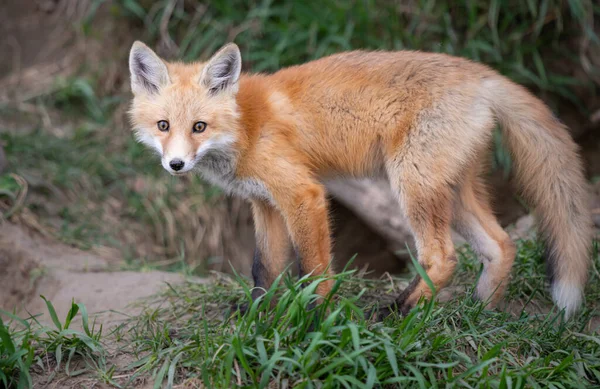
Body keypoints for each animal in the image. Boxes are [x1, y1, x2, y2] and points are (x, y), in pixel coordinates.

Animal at [129, 41, 592, 316]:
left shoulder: (303, 194)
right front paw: (257, 318)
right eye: (164, 125)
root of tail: (479, 73)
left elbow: (313, 268)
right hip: (453, 190)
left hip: (412, 183)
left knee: (442, 257)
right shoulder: (264, 203)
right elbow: (264, 268)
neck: (245, 126)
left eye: (200, 127)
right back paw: (478, 313)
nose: (176, 165)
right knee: (500, 244)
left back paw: (397, 311)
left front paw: (313, 316)